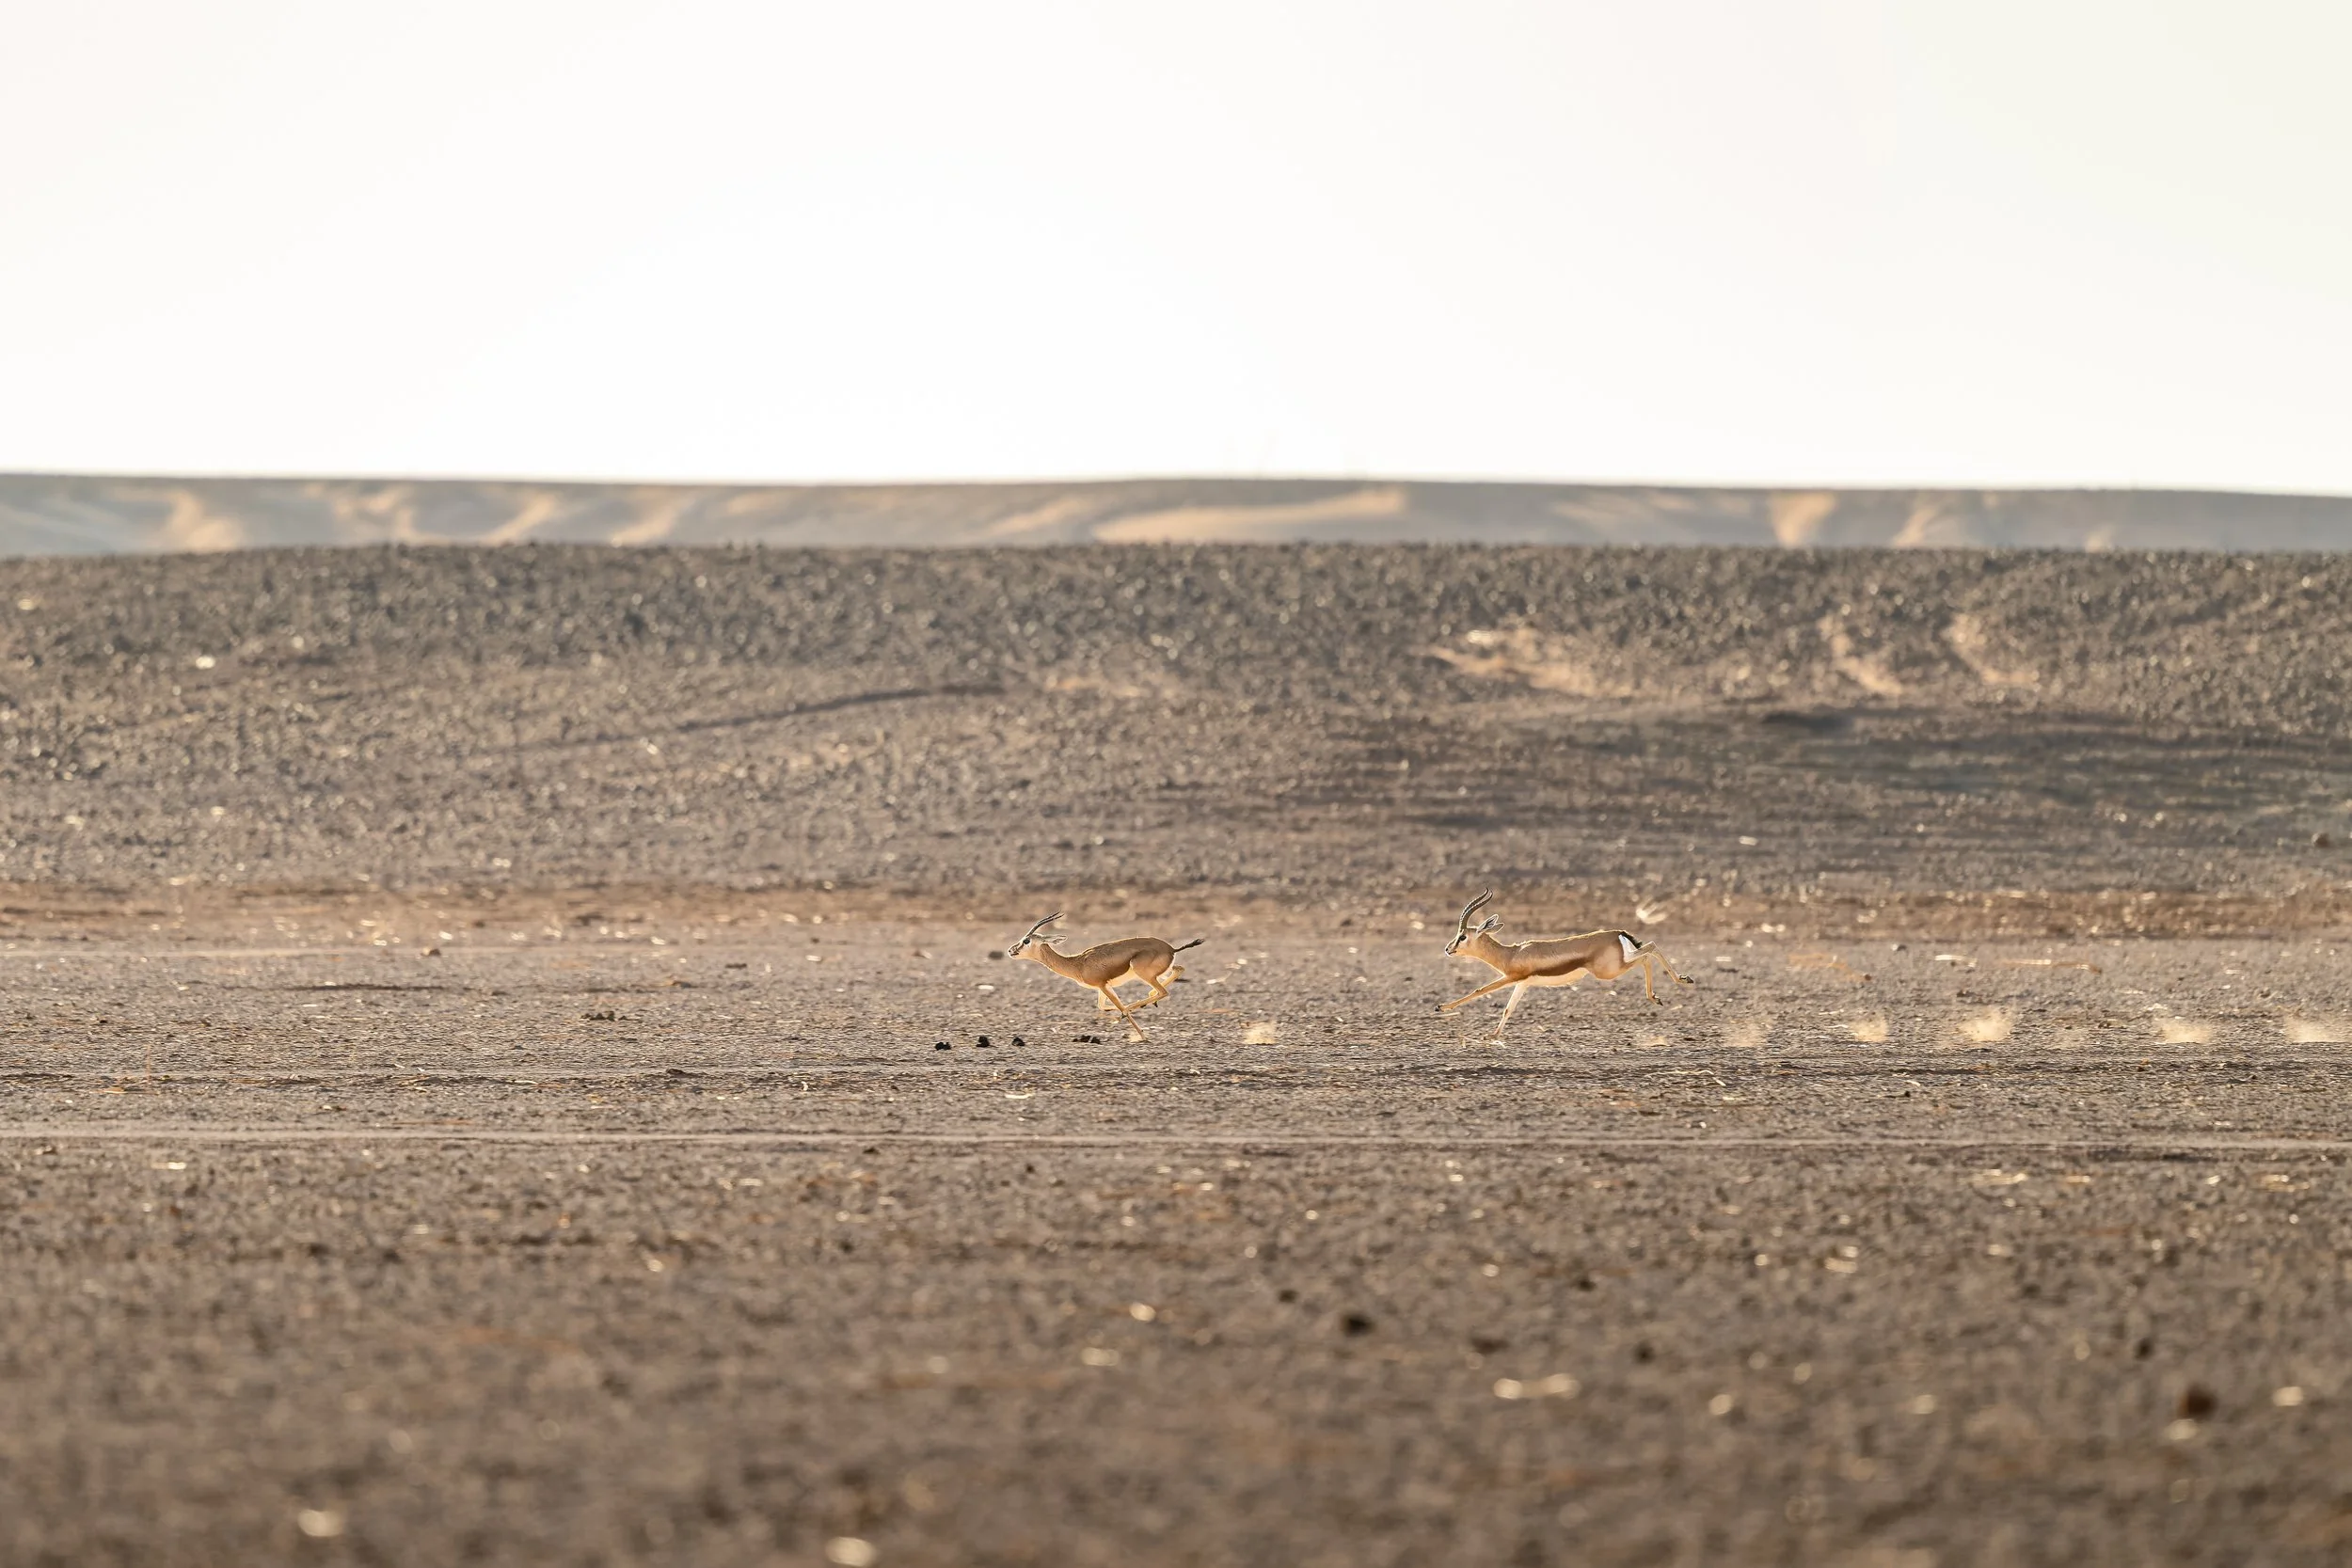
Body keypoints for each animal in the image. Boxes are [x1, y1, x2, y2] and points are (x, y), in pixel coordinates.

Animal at [1008, 914, 1203, 1039]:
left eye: (1026, 940)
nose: (1011, 950)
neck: (1077, 964)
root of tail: (1171, 949)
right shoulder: (1102, 987)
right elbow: (1102, 1006)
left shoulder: (1102, 985)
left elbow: (1118, 1006)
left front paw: (1142, 1036)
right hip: (1159, 973)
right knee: (1178, 969)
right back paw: (1148, 1001)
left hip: (1143, 973)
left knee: (1163, 992)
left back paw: (1138, 1006)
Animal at [1438, 890, 1694, 1040]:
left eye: (1462, 936)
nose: (1448, 949)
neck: (1512, 954)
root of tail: (1618, 933)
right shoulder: (1523, 983)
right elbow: (1508, 1008)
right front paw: (1492, 1036)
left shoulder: (1511, 978)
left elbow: (1479, 990)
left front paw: (1441, 1007)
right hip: (1619, 963)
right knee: (1648, 950)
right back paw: (1672, 987)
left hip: (1609, 971)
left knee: (1648, 951)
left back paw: (1673, 986)